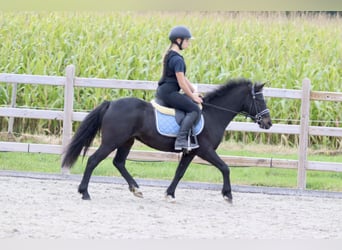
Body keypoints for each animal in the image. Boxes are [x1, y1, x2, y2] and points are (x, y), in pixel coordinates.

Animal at [60, 78, 270, 203]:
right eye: (260, 100)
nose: (268, 123)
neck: (213, 114)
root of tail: (111, 103)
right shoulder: (205, 150)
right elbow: (225, 168)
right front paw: (228, 195)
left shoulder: (191, 152)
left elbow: (179, 173)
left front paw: (169, 193)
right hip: (112, 141)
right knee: (93, 160)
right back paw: (84, 192)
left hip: (127, 141)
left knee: (118, 162)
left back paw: (136, 189)